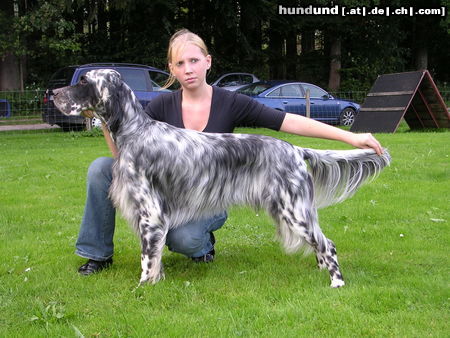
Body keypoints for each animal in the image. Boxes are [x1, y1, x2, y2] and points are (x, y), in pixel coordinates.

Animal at [53, 69, 390, 288]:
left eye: (83, 80)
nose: (52, 92)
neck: (135, 131)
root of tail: (295, 149)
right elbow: (155, 258)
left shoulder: (151, 214)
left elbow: (147, 260)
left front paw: (143, 290)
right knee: (321, 244)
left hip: (294, 211)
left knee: (328, 244)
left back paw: (337, 283)